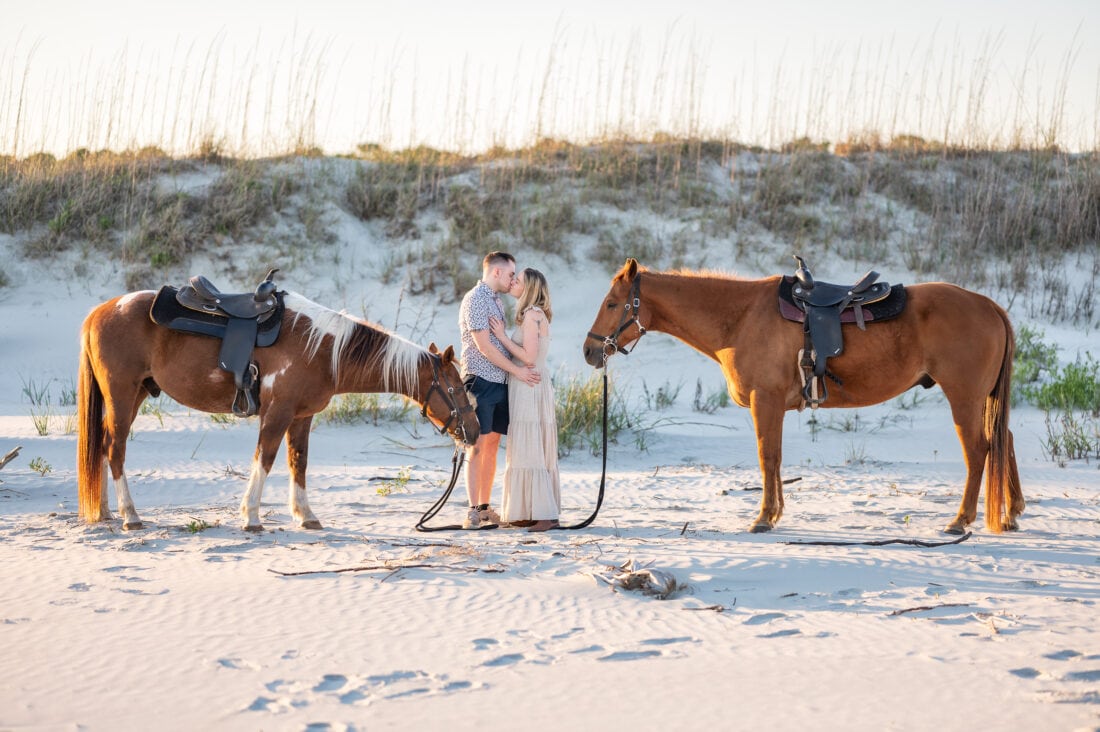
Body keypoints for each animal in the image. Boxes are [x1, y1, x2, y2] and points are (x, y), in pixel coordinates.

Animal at [76, 286, 473, 530]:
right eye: (456, 388)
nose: (474, 430)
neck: (323, 349)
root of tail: (98, 312)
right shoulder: (277, 412)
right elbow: (264, 459)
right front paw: (251, 516)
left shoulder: (301, 416)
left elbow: (299, 462)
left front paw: (305, 515)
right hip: (122, 395)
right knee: (115, 449)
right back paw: (130, 516)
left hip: (134, 396)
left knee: (105, 448)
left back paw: (107, 511)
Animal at [585, 259, 1020, 534]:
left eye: (611, 303)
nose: (590, 351)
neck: (740, 318)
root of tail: (988, 304)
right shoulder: (772, 405)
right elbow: (775, 459)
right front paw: (775, 513)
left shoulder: (766, 401)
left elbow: (767, 458)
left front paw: (764, 517)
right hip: (983, 400)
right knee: (1004, 440)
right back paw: (1012, 512)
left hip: (964, 398)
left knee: (979, 451)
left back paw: (961, 520)